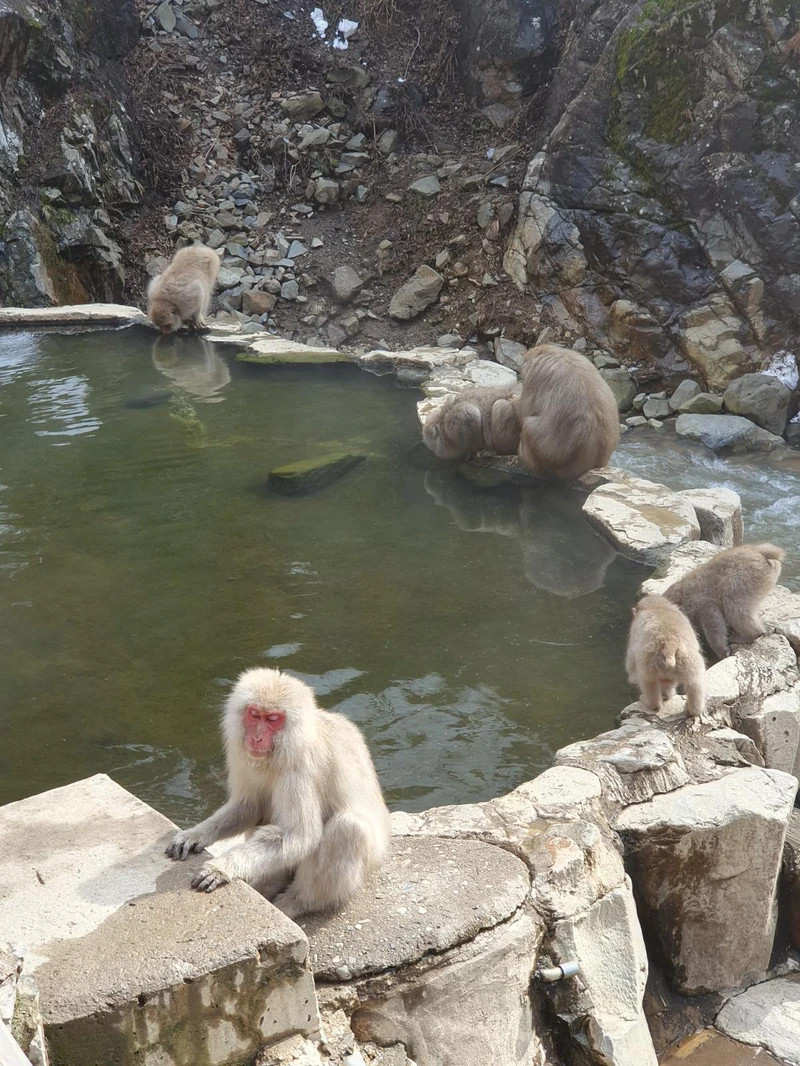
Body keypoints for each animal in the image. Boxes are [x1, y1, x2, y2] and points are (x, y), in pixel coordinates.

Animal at [166, 667, 391, 919]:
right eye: (255, 715)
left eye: (273, 719)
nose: (256, 738)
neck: (280, 750)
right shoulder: (241, 755)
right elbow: (248, 807)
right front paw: (195, 834)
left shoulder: (301, 767)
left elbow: (300, 835)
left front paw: (222, 867)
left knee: (348, 828)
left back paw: (296, 903)